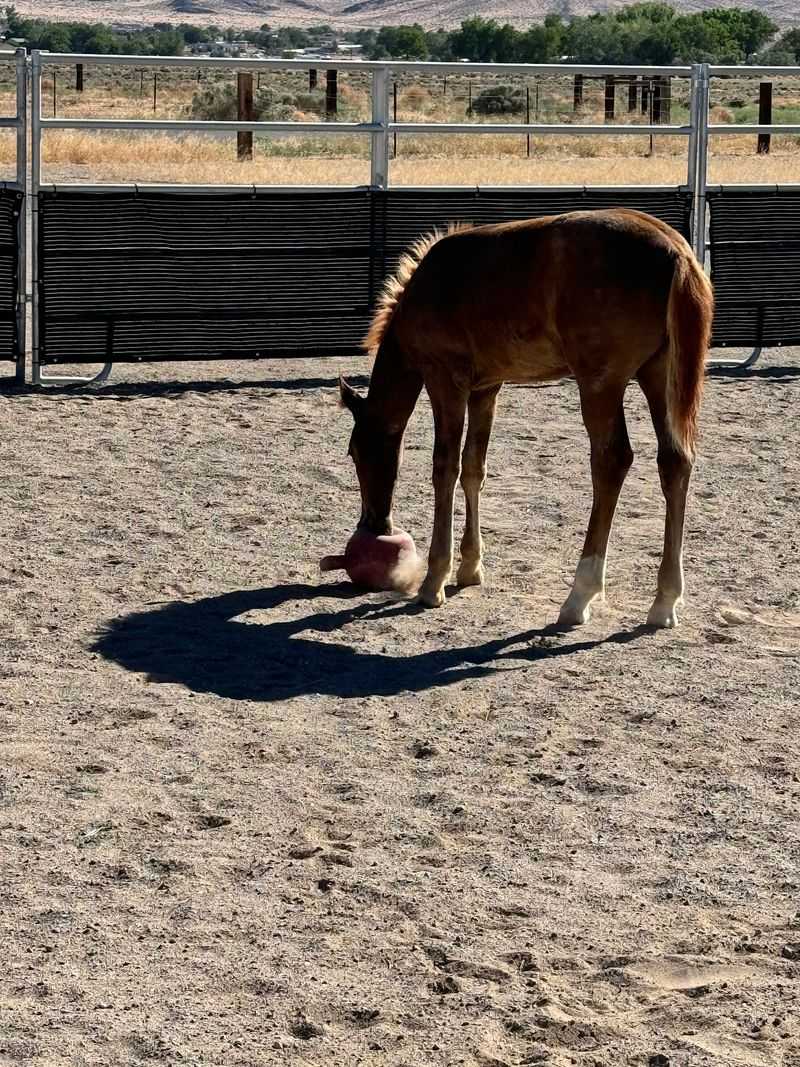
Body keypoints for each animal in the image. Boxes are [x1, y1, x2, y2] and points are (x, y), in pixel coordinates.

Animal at [339, 208, 713, 629]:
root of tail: (677, 253)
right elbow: (474, 468)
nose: (372, 525)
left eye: (355, 452)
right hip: (658, 375)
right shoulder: (486, 389)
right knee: (674, 462)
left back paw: (579, 595)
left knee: (612, 460)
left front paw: (434, 580)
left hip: (601, 382)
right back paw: (665, 600)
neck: (428, 287)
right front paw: (470, 567)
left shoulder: (445, 381)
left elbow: (445, 469)